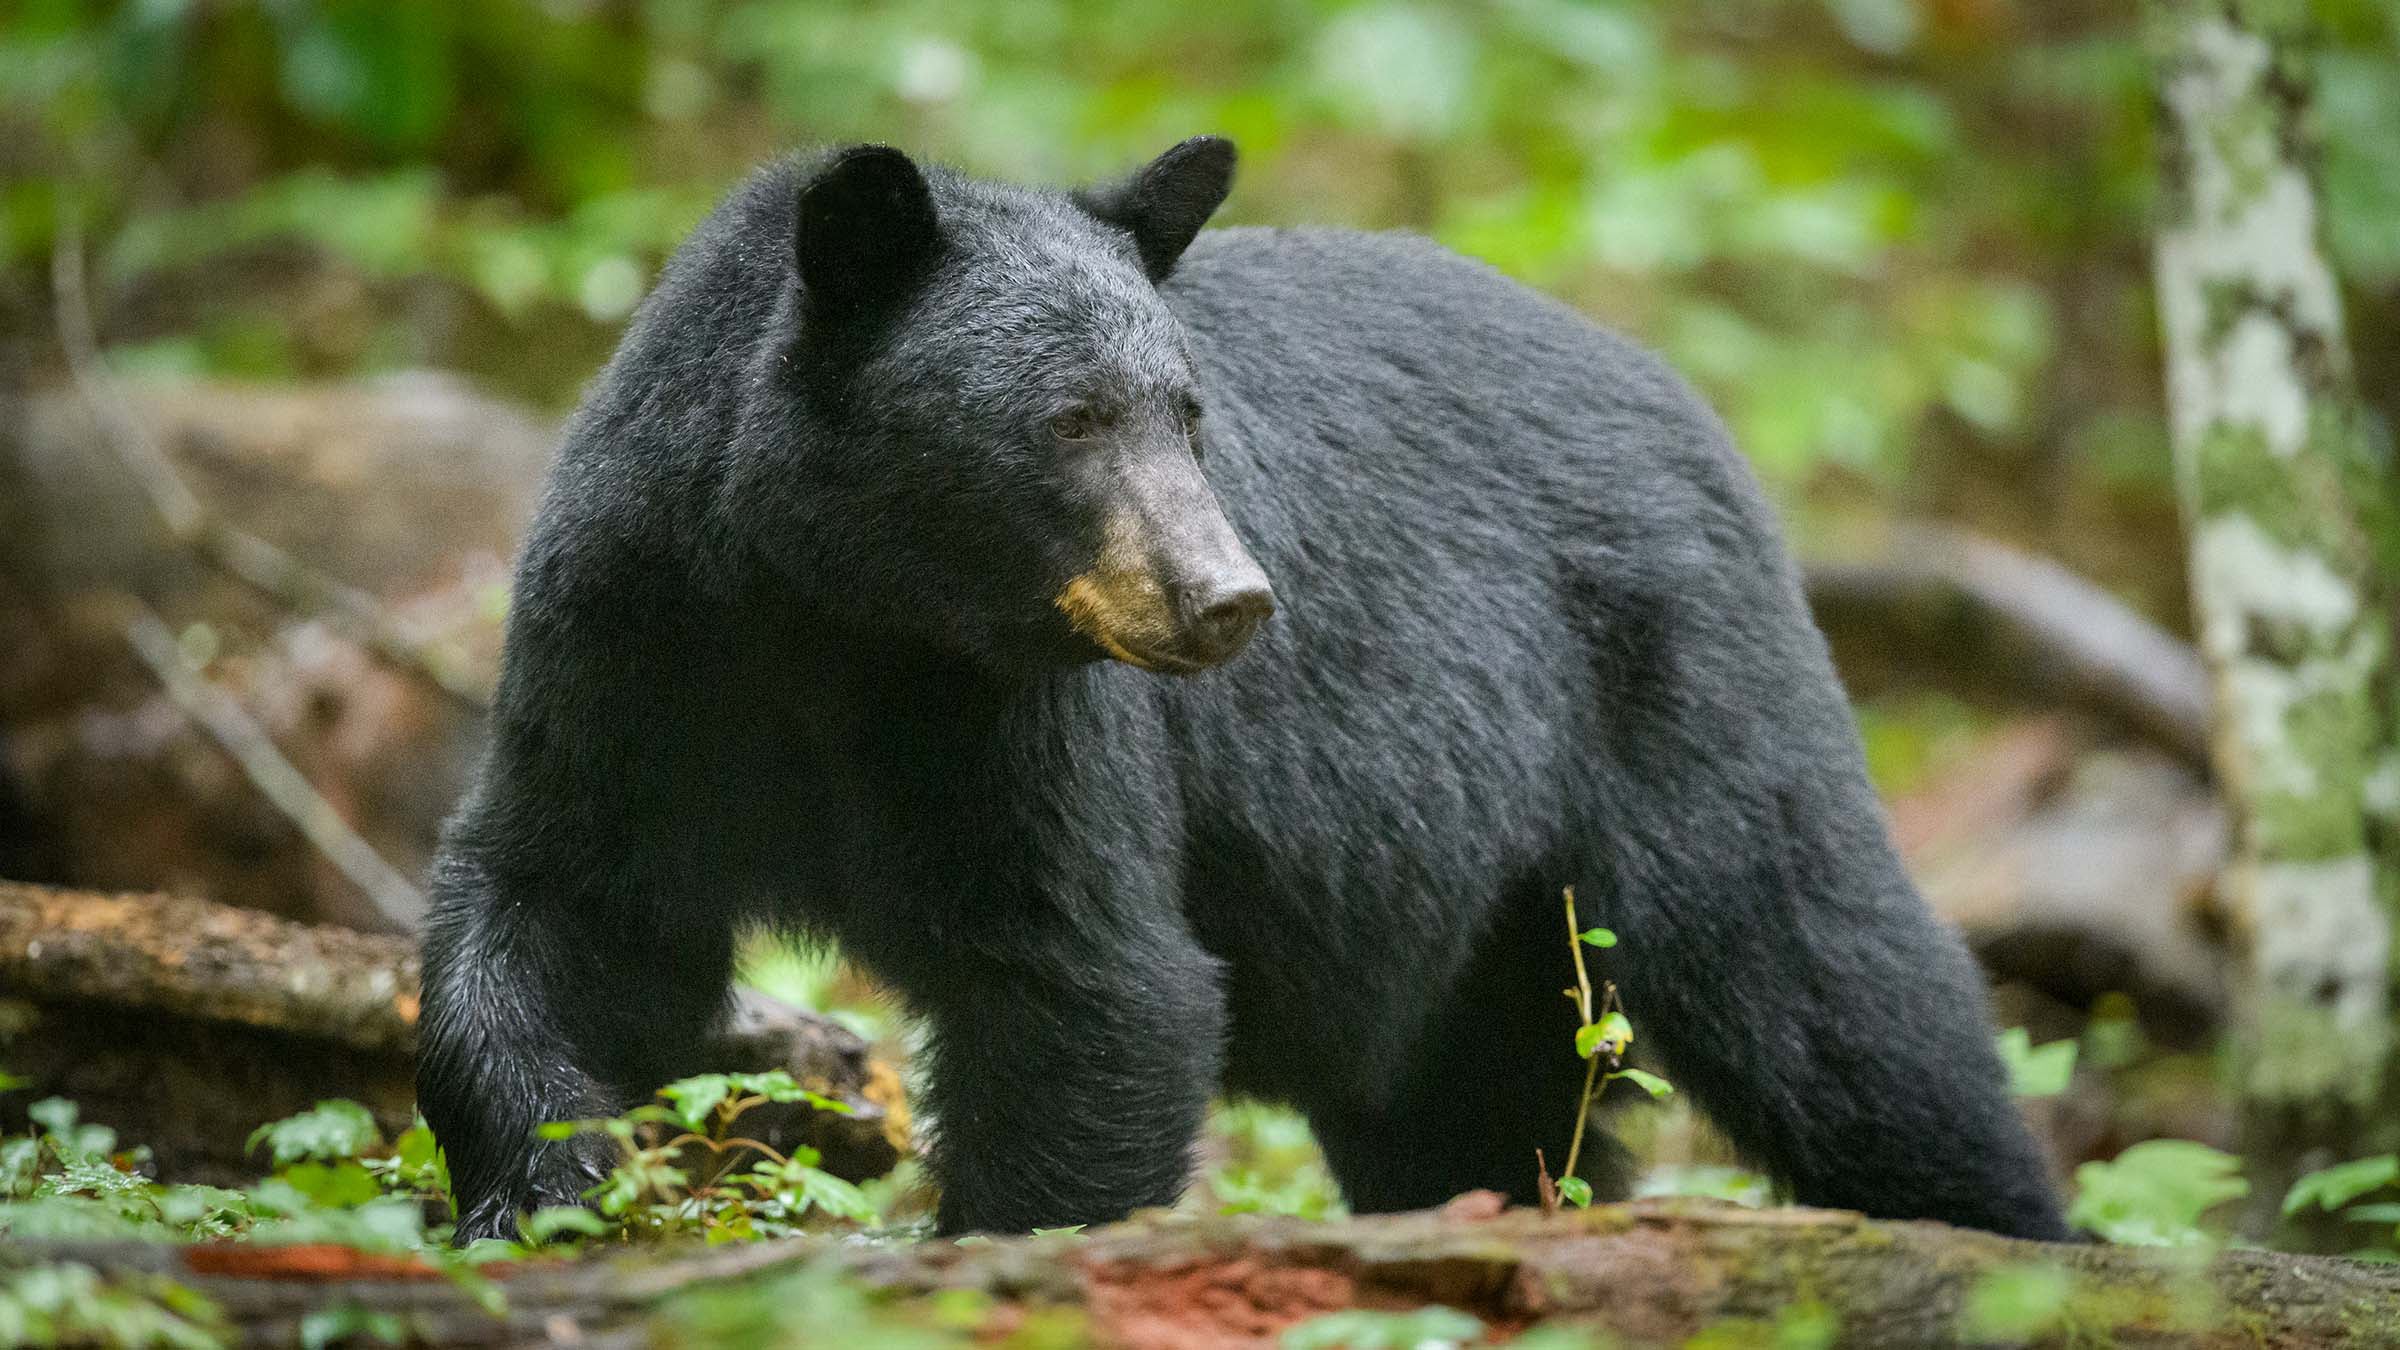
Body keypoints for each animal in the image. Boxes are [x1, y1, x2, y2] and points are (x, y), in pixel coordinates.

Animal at [416, 136, 2069, 1245]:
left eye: (1189, 412)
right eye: (1072, 417)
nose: (1231, 598)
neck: (838, 613)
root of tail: (1686, 395)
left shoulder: (1017, 723)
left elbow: (1093, 985)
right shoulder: (638, 643)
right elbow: (567, 907)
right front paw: (544, 1188)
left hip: (1675, 684)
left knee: (1831, 985)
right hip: (1476, 912)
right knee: (1476, 1100)